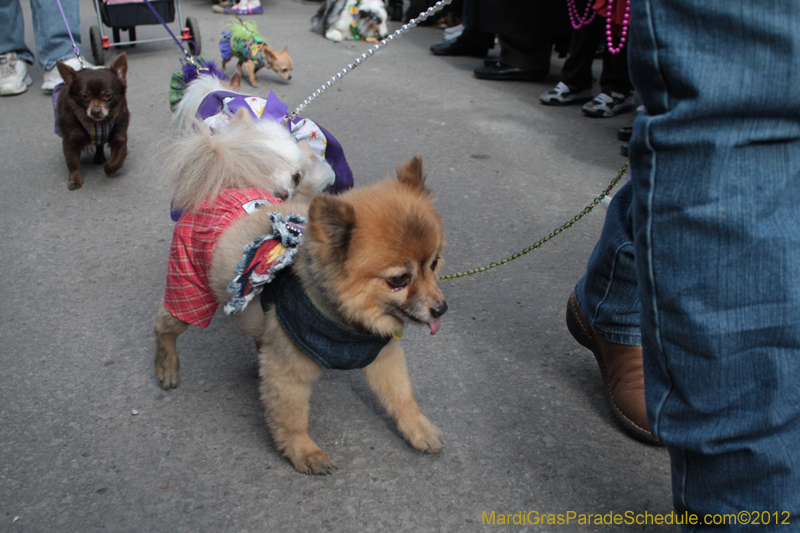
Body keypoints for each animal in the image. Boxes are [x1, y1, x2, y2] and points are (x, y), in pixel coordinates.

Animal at [153, 155, 446, 474]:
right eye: (399, 279)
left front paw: (418, 428)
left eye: (434, 263)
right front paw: (303, 451)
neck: (344, 321)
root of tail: (221, 186)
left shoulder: (382, 356)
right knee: (164, 326)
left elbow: (402, 395)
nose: (441, 308)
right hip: (190, 291)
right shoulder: (289, 373)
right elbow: (292, 418)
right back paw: (166, 366)